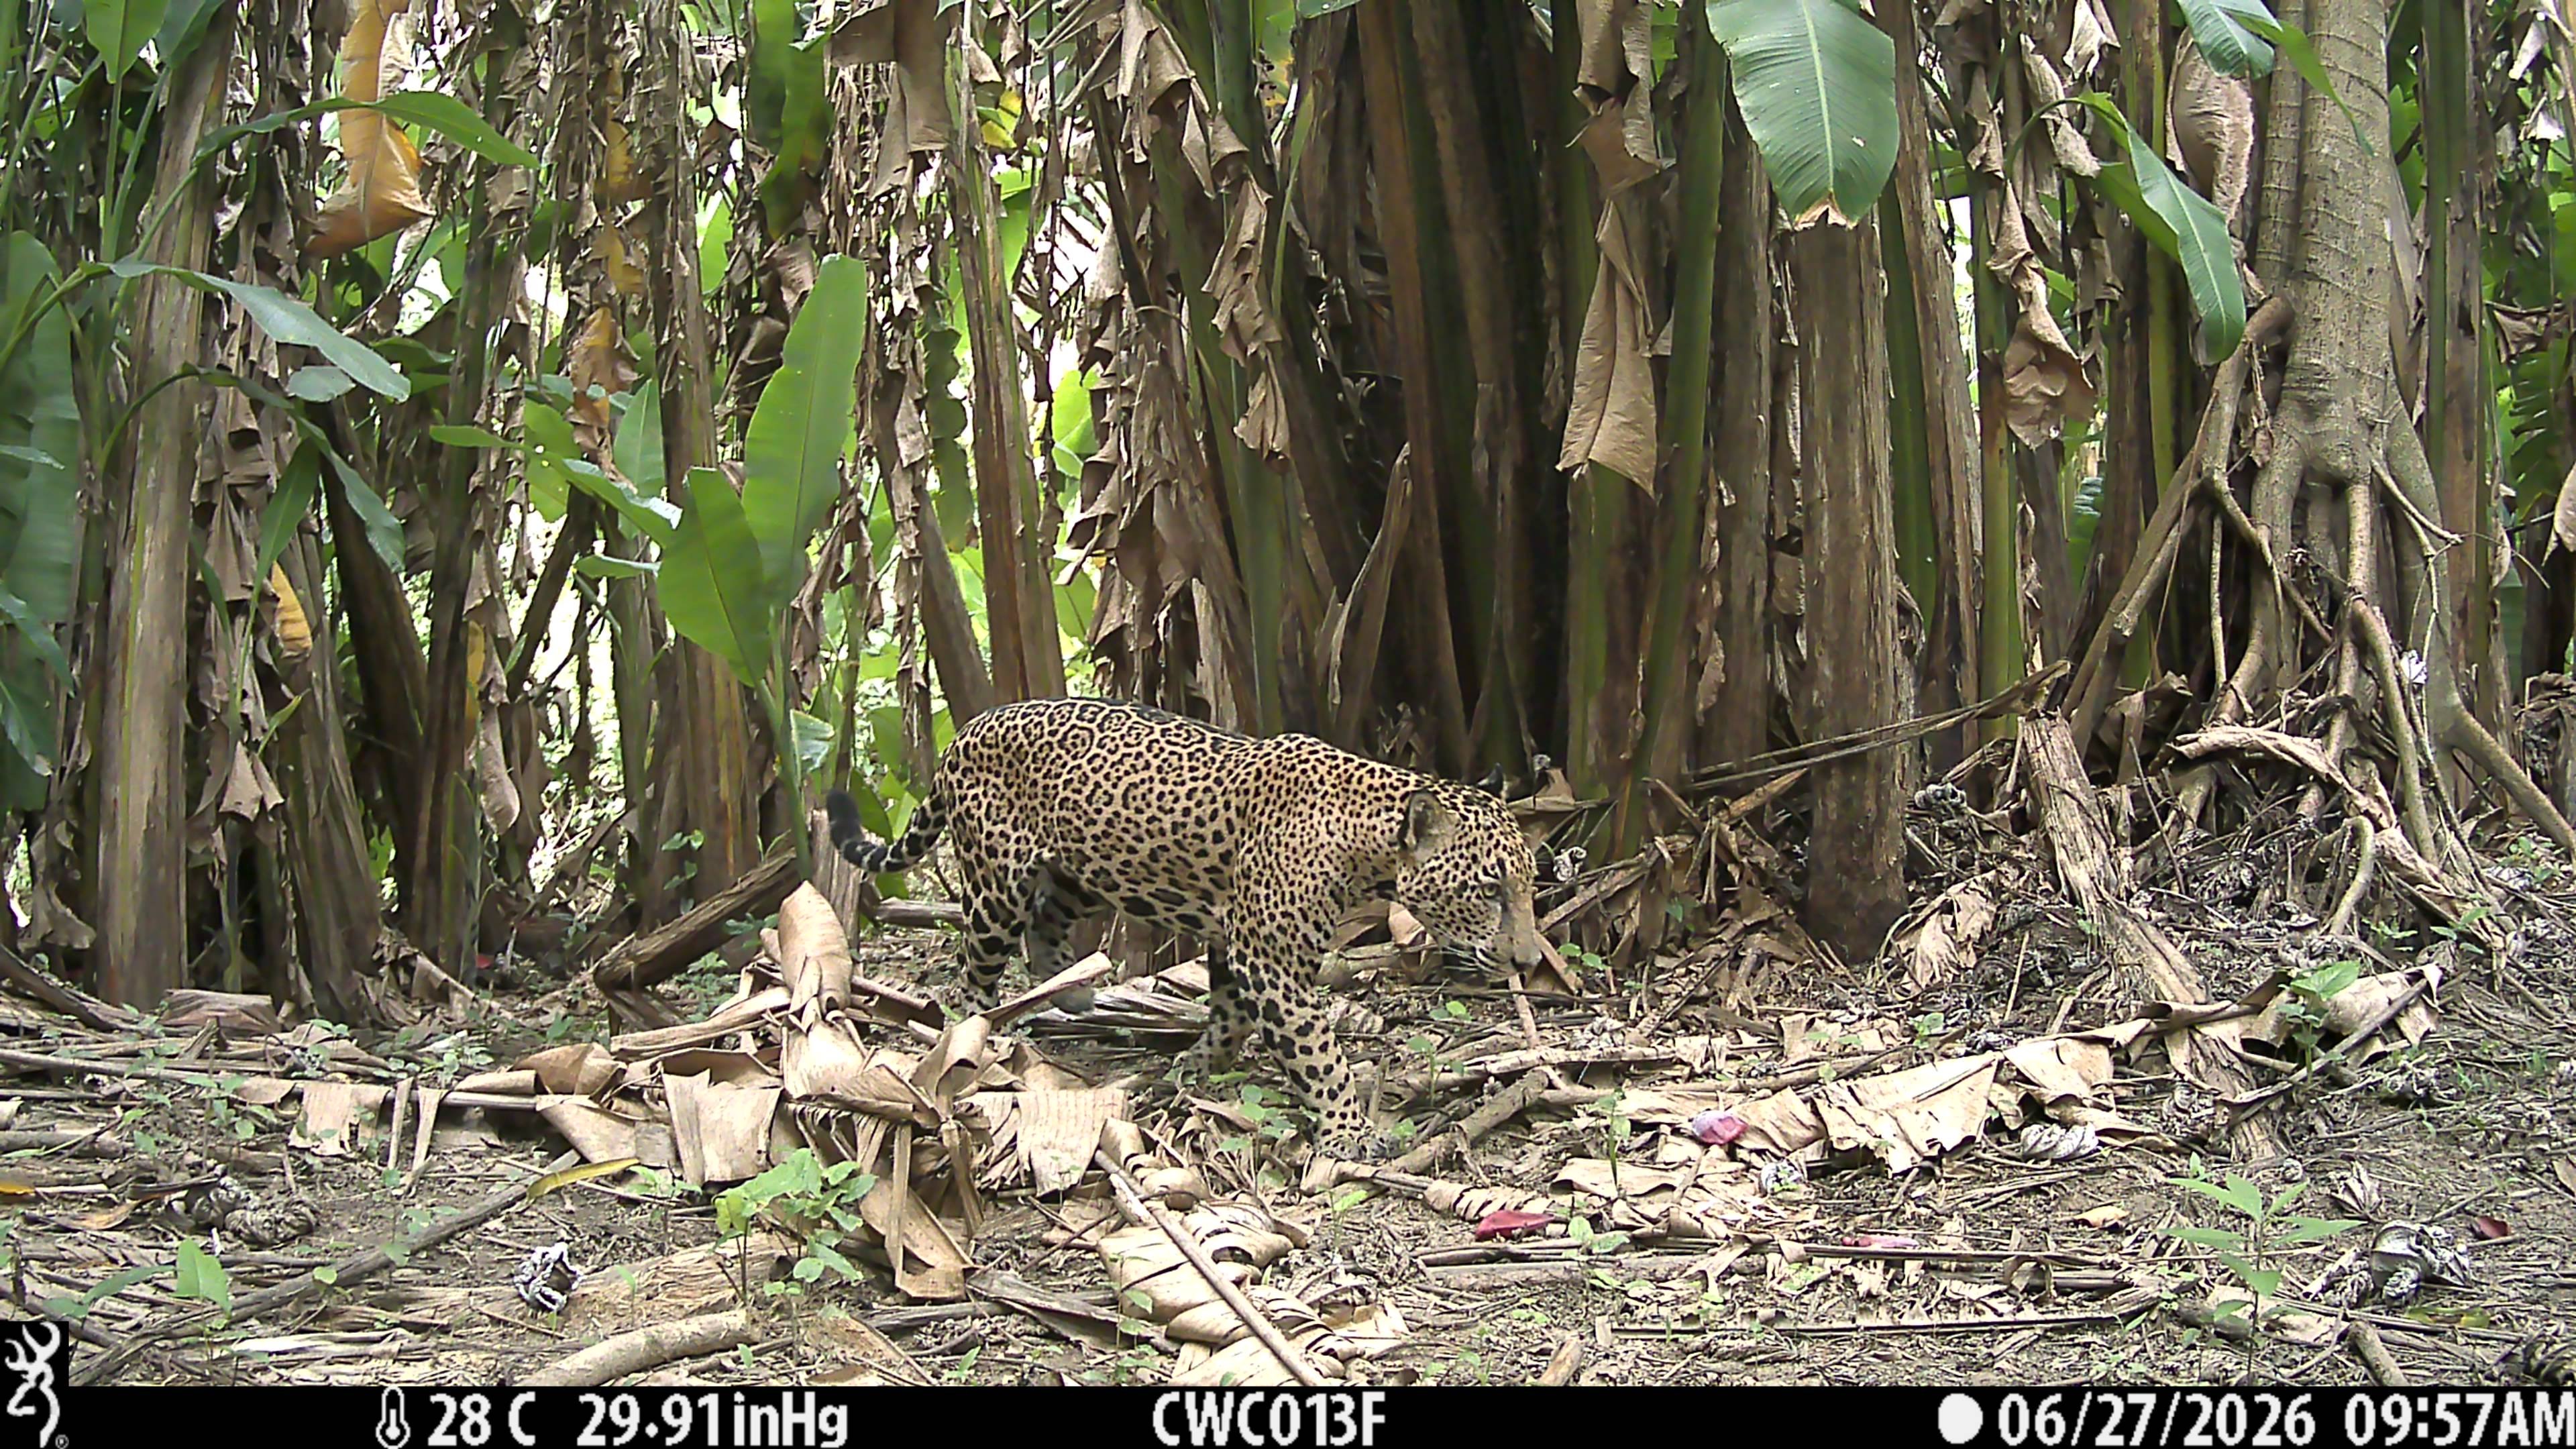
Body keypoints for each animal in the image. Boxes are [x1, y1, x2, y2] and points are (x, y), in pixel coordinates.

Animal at [824, 696, 1545, 1159]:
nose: (1531, 963)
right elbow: (1318, 1052)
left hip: (1085, 873)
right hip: (995, 884)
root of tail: (964, 730)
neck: (1363, 841)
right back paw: (980, 1034)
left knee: (1048, 926)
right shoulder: (1272, 961)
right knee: (975, 965)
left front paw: (1196, 1069)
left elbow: (1229, 1018)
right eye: (1489, 891)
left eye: (1529, 885)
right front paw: (1347, 1131)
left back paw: (1073, 989)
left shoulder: (1237, 944)